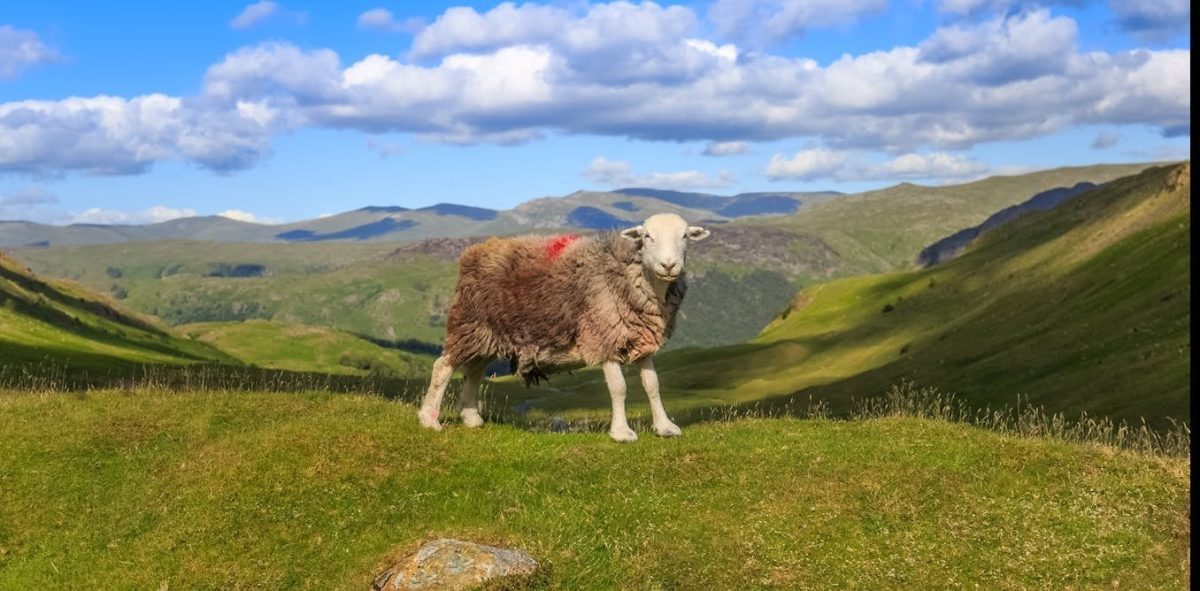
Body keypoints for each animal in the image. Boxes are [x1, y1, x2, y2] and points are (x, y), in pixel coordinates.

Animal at [417, 211, 705, 439]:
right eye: (647, 237)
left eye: (685, 236)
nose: (669, 265)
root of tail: (474, 252)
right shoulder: (603, 337)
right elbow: (619, 389)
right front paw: (622, 433)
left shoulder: (640, 340)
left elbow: (652, 386)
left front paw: (665, 427)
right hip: (468, 323)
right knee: (443, 366)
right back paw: (429, 420)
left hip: (487, 334)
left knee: (474, 371)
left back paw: (471, 418)